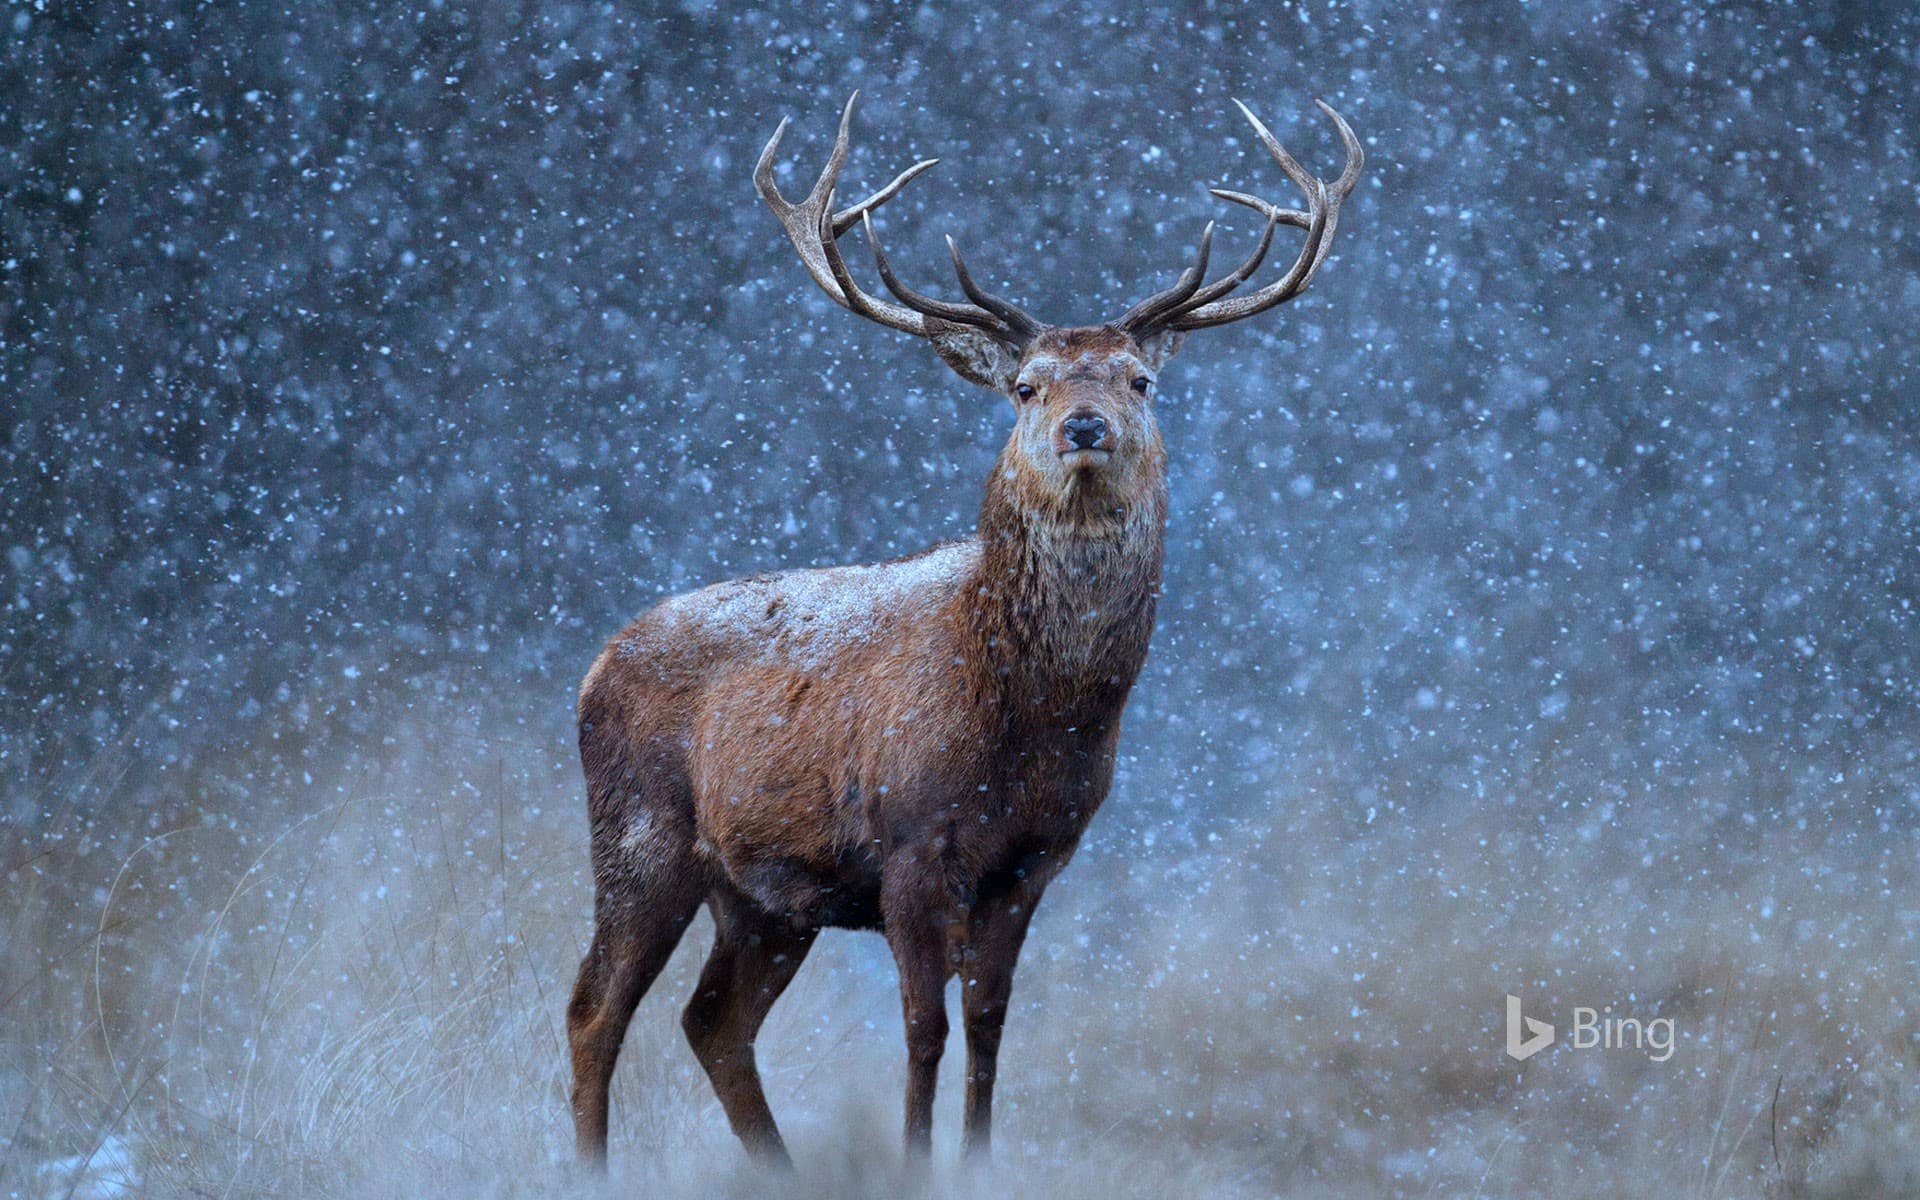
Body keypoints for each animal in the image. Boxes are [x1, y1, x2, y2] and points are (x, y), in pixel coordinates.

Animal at [566, 92, 1361, 1167]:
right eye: (1026, 385)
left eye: (1138, 382)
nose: (1083, 426)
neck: (1026, 719)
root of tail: (594, 664)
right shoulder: (908, 840)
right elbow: (922, 1028)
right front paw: (913, 1164)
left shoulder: (1035, 858)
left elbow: (988, 1024)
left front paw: (980, 1161)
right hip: (641, 829)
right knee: (594, 1009)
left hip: (763, 895)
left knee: (712, 1020)